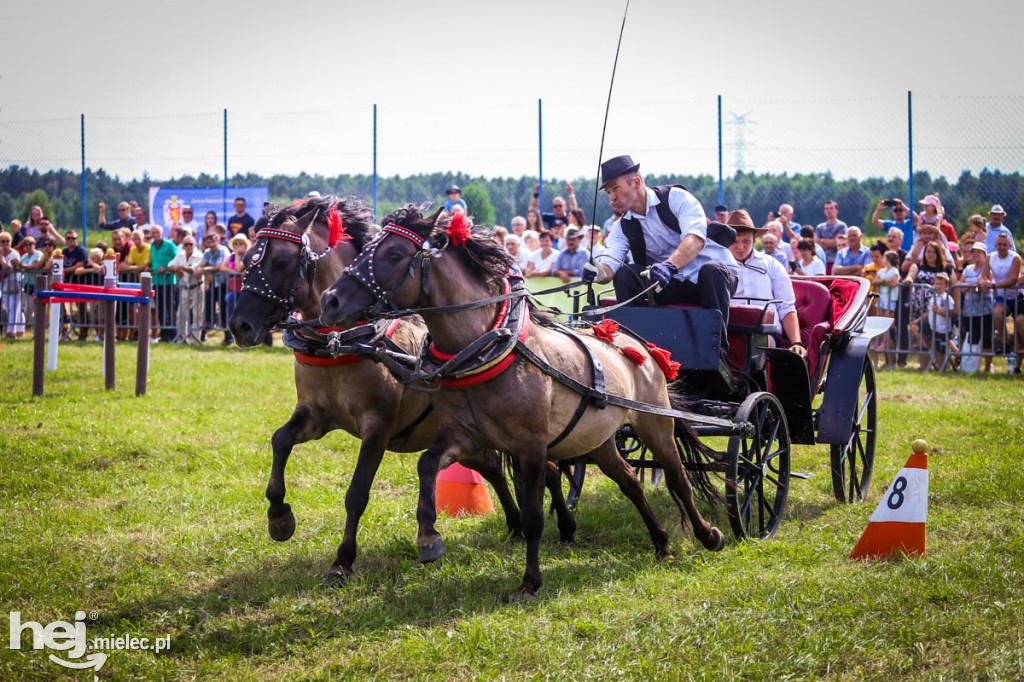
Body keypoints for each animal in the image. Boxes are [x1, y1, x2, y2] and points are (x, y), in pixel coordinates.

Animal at [228, 196, 573, 585]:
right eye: (246, 259)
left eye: (281, 261)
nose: (240, 326)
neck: (344, 340)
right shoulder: (315, 416)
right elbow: (280, 441)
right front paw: (279, 518)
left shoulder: (376, 427)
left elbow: (357, 493)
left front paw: (342, 561)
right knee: (493, 469)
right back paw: (515, 526)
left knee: (549, 470)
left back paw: (565, 526)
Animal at [319, 204, 729, 598]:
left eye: (394, 254)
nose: (330, 299)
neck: (489, 347)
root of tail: (634, 340)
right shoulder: (463, 434)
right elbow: (427, 464)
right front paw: (429, 538)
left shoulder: (531, 445)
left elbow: (533, 516)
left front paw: (530, 581)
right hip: (596, 440)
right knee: (630, 481)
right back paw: (660, 541)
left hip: (654, 423)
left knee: (678, 479)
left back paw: (709, 534)